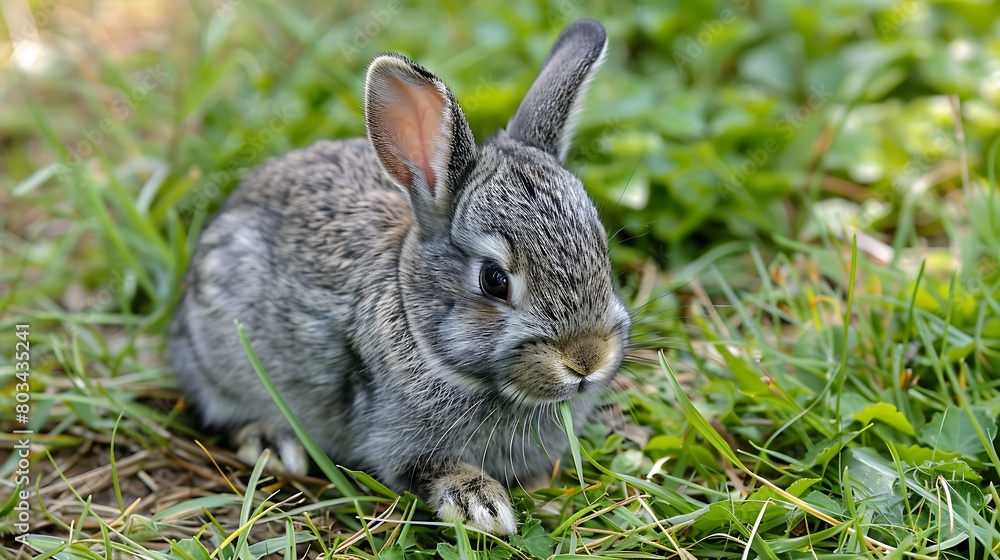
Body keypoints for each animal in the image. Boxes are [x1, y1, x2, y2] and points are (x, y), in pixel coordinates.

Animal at [169, 18, 630, 536]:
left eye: (601, 248)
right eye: (494, 280)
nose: (586, 361)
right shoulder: (396, 441)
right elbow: (426, 470)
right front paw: (482, 505)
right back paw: (272, 441)